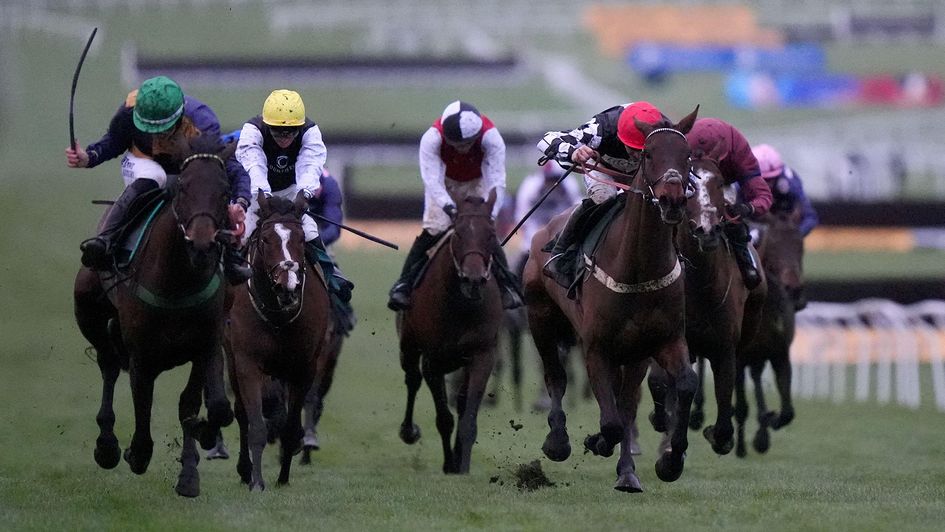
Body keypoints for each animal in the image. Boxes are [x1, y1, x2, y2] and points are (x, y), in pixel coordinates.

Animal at [77, 135, 240, 496]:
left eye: (225, 191)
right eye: (184, 188)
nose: (203, 244)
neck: (178, 281)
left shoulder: (206, 344)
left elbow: (209, 407)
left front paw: (191, 468)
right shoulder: (142, 354)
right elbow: (143, 404)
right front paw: (136, 453)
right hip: (87, 310)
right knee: (108, 364)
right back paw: (107, 446)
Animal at [226, 191, 332, 490]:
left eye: (300, 238)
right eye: (265, 239)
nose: (289, 286)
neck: (278, 314)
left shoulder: (304, 367)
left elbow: (291, 425)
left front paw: (283, 476)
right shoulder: (247, 363)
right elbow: (255, 424)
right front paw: (257, 481)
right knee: (241, 412)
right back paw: (244, 469)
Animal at [396, 190, 506, 474]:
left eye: (491, 234)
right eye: (457, 234)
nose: (473, 280)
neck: (460, 305)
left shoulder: (482, 355)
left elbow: (468, 417)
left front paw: (462, 465)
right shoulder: (432, 361)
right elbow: (444, 418)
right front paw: (449, 464)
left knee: (461, 399)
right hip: (408, 345)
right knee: (412, 379)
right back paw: (408, 431)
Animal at [524, 106, 700, 492]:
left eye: (687, 156)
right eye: (649, 154)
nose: (672, 201)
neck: (637, 268)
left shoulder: (661, 341)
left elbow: (683, 385)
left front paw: (669, 461)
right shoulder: (596, 347)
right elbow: (611, 422)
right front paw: (595, 441)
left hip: (631, 355)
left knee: (627, 401)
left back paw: (627, 473)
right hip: (541, 318)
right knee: (555, 376)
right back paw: (557, 441)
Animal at [732, 208, 800, 458]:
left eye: (800, 244)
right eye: (773, 244)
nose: (793, 287)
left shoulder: (779, 353)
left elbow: (788, 411)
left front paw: (768, 422)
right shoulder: (738, 357)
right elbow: (741, 405)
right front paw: (741, 446)